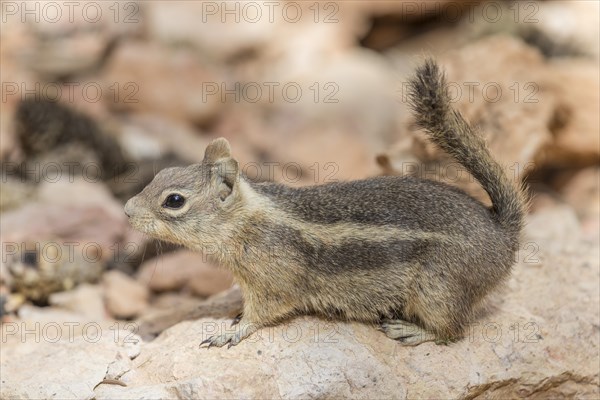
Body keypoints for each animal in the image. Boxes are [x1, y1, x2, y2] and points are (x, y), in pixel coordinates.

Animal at [125, 59, 524, 346]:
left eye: (174, 201)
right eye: (163, 173)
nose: (128, 211)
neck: (248, 223)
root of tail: (502, 234)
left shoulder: (275, 282)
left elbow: (262, 314)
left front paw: (231, 331)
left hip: (437, 288)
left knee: (455, 331)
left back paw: (413, 331)